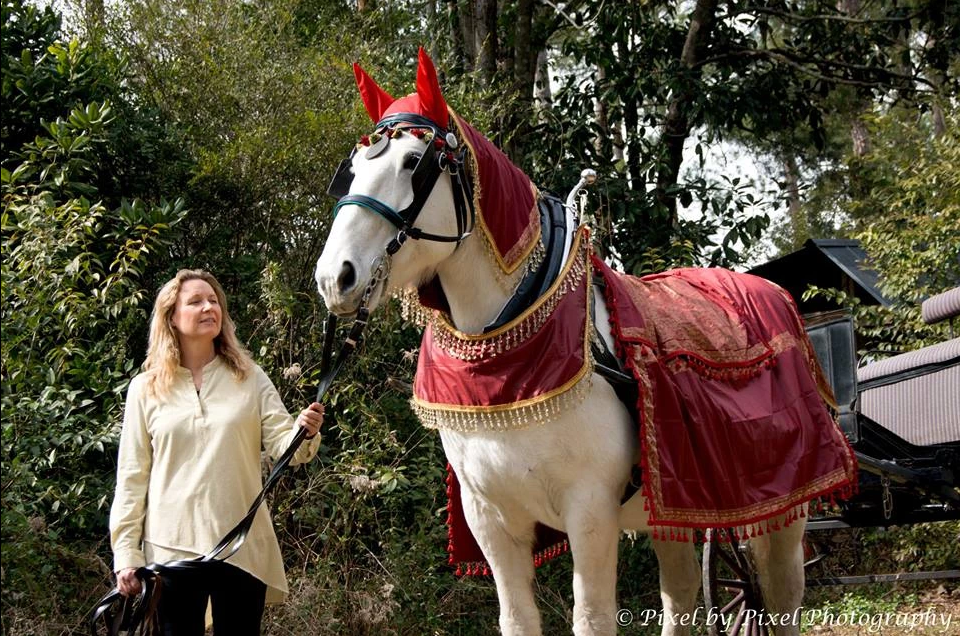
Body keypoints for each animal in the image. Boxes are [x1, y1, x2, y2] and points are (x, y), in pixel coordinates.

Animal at [314, 48, 856, 636]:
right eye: (353, 169)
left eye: (414, 162)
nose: (335, 277)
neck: (507, 361)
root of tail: (776, 293)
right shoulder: (491, 520)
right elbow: (517, 619)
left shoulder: (591, 511)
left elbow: (592, 618)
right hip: (677, 509)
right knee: (682, 594)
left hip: (785, 505)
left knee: (781, 597)